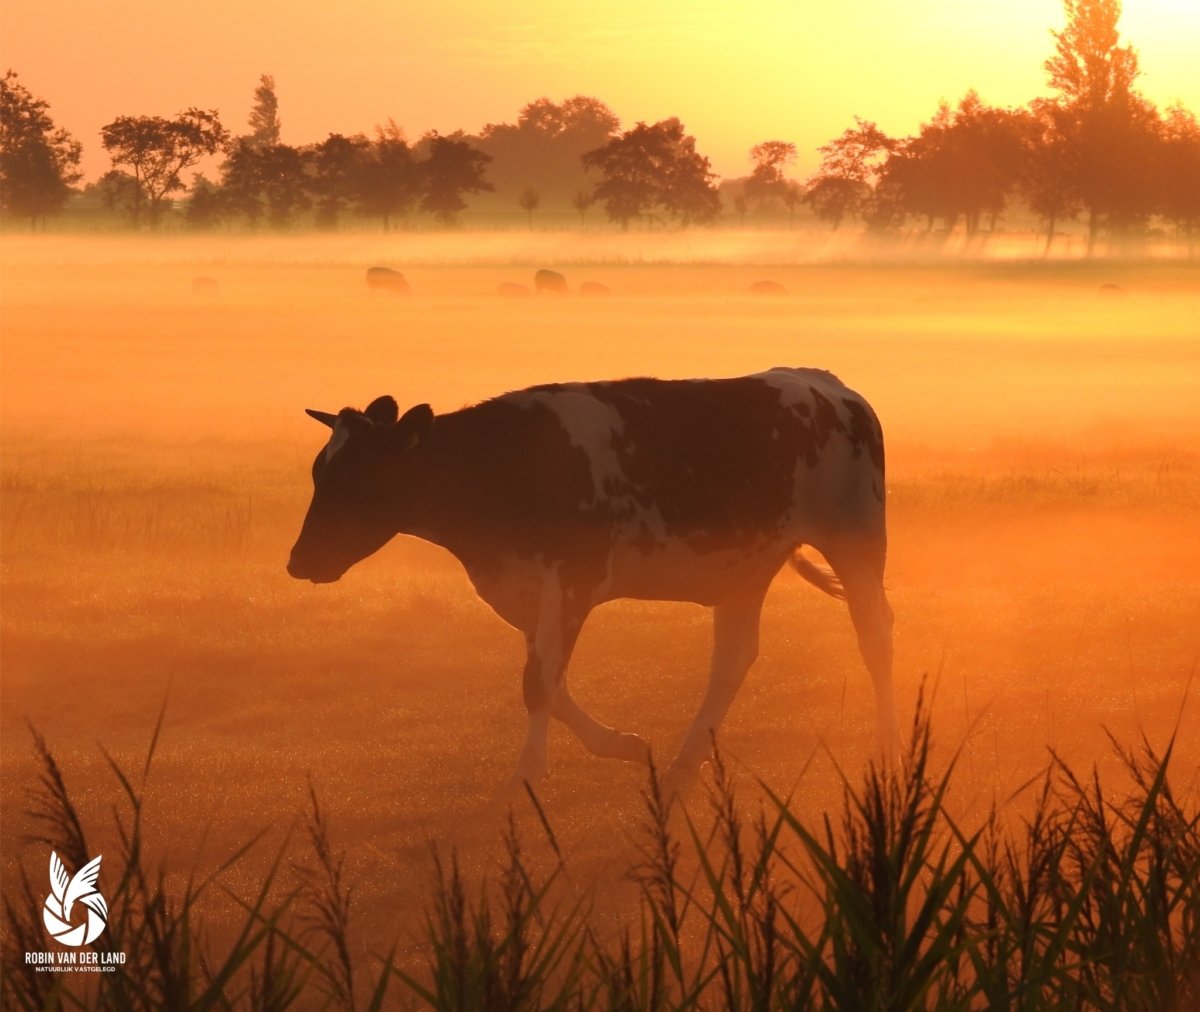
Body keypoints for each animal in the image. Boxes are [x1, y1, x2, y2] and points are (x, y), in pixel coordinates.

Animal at [285, 367, 897, 797]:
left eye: (360, 479)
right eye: (319, 472)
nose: (298, 561)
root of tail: (827, 385)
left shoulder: (572, 581)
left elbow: (538, 684)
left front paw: (525, 776)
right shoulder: (523, 591)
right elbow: (547, 683)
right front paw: (623, 746)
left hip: (856, 537)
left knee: (874, 636)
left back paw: (886, 748)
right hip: (745, 567)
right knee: (732, 658)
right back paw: (683, 766)